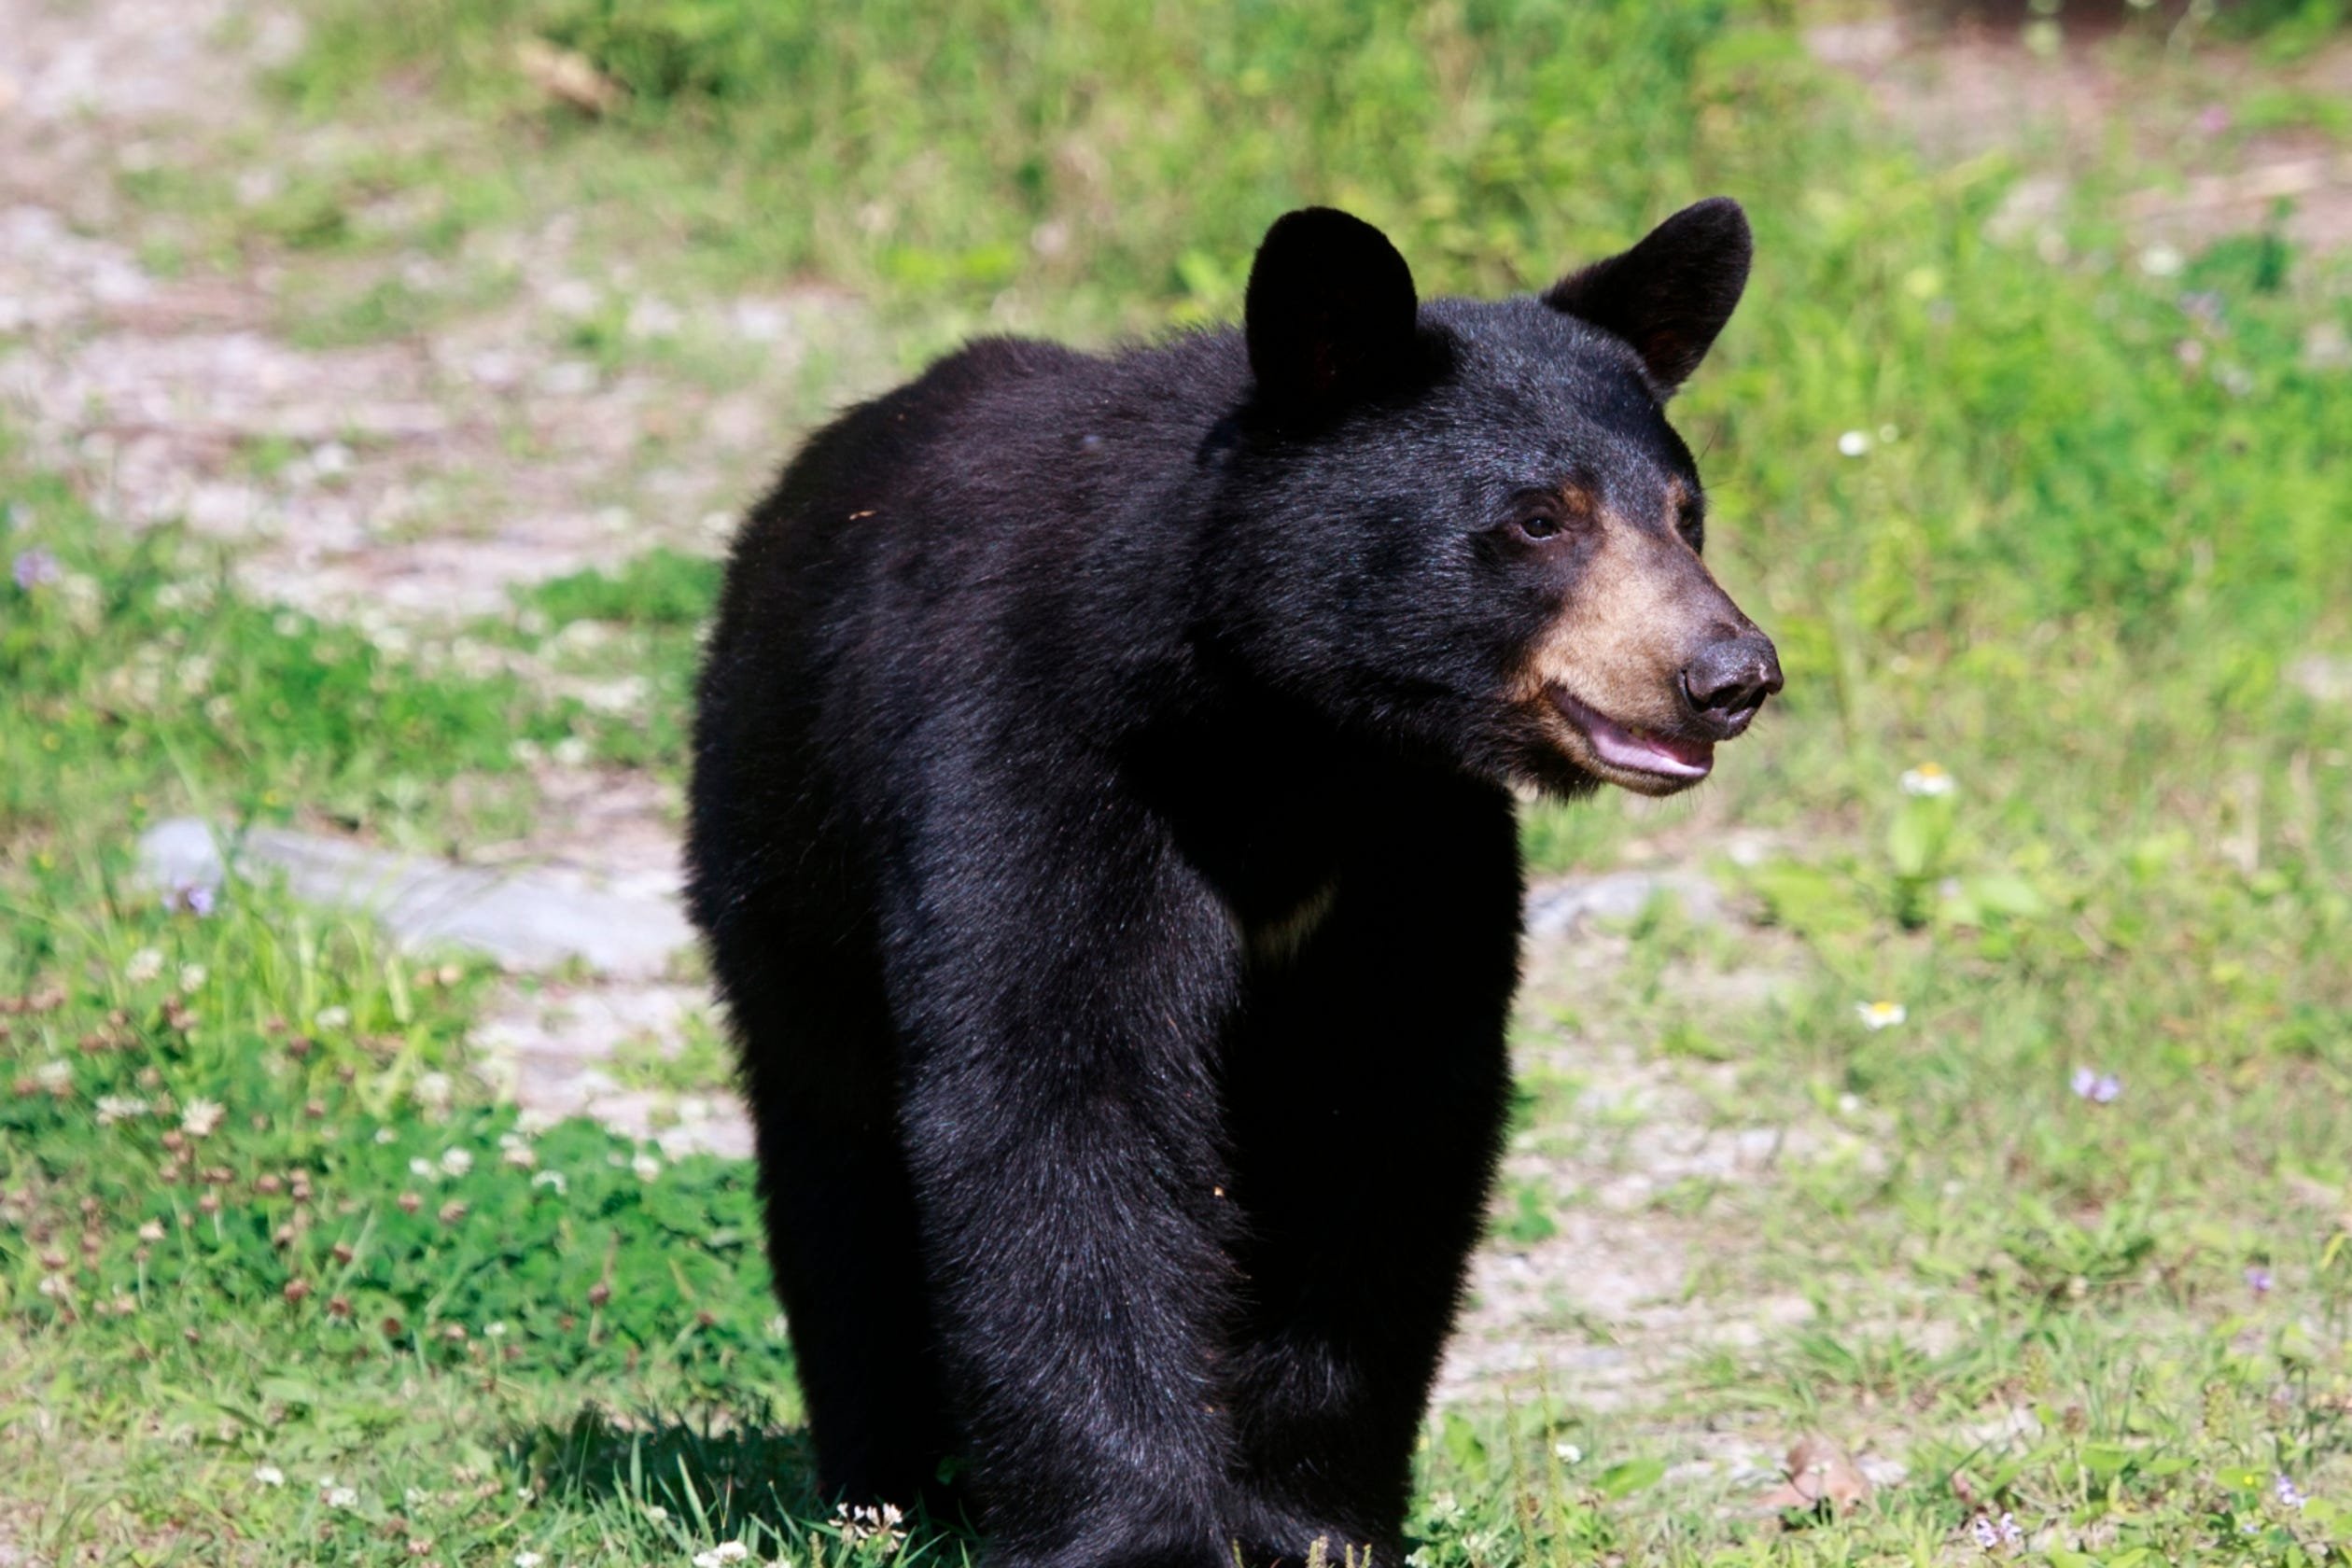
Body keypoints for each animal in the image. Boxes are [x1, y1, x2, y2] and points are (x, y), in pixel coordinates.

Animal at [686, 200, 1769, 1568]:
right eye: (1541, 518)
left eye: (1686, 513)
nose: (1731, 674)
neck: (1278, 736)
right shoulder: (1035, 761)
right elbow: (1054, 1095)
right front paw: (1138, 1527)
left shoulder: (1410, 835)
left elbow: (1383, 1112)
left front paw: (1312, 1516)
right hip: (783, 860)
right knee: (836, 1149)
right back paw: (888, 1485)